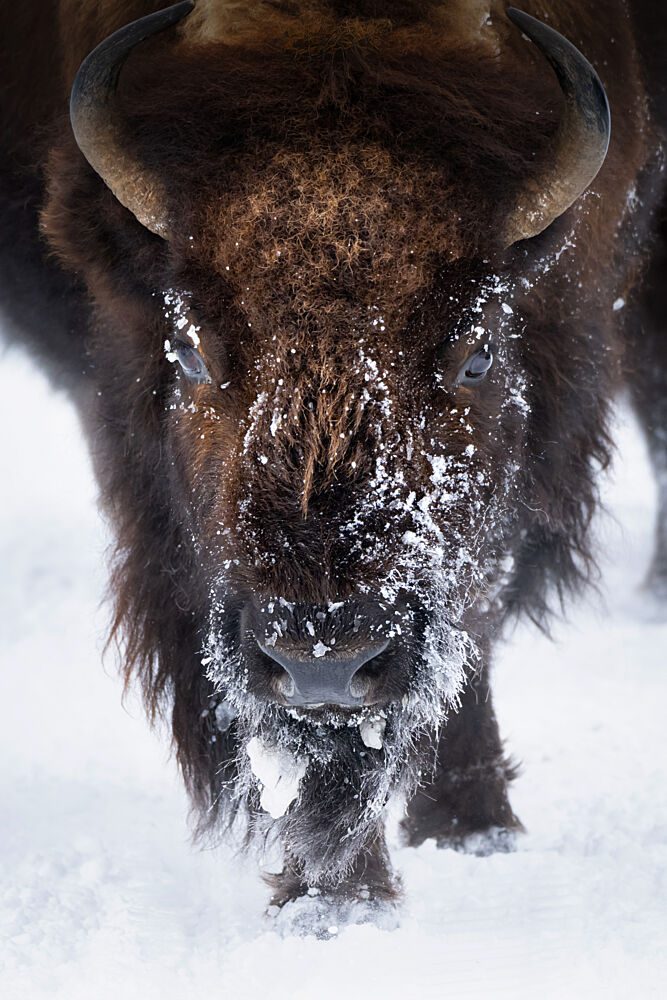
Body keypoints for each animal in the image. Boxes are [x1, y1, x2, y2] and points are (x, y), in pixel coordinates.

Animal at [1, 0, 666, 932]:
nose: (324, 658)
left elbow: (471, 616)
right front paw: (332, 901)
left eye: (475, 353)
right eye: (192, 351)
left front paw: (466, 835)